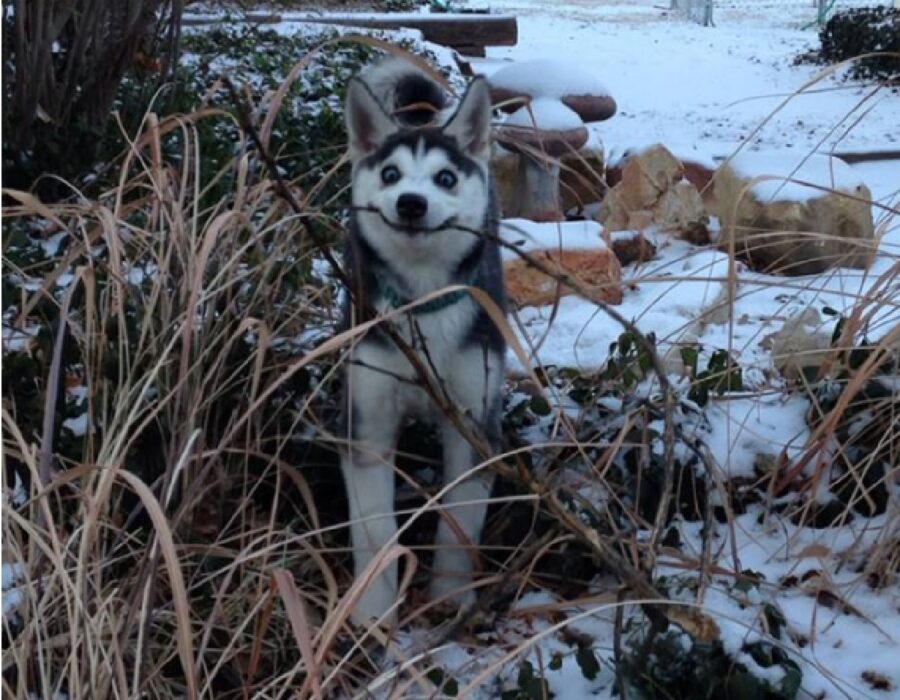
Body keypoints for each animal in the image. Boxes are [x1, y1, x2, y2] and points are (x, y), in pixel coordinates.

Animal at [342, 60, 506, 628]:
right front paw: (373, 613)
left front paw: (450, 596)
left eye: (445, 178)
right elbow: (374, 529)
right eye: (390, 174)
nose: (411, 203)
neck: (421, 305)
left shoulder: (474, 422)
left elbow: (459, 518)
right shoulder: (366, 424)